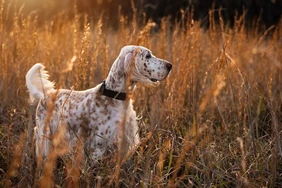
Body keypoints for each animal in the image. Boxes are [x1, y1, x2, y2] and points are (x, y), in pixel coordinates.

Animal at [25, 45, 172, 160]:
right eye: (147, 55)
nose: (170, 65)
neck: (114, 97)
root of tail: (45, 94)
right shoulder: (98, 146)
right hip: (44, 134)